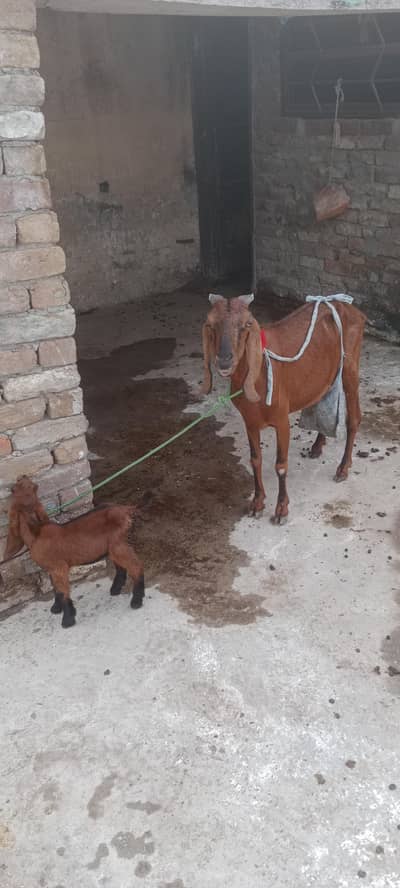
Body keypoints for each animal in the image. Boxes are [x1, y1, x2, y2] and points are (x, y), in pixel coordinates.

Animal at [4, 476, 145, 628]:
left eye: (14, 488)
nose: (22, 476)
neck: (37, 533)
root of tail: (125, 509)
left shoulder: (59, 567)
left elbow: (63, 592)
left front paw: (67, 620)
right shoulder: (51, 569)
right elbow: (56, 589)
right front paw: (56, 608)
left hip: (118, 545)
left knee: (135, 566)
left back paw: (136, 600)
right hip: (112, 547)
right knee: (121, 567)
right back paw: (115, 589)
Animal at [201, 293, 366, 523]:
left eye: (246, 324)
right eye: (211, 324)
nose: (224, 360)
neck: (260, 372)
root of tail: (350, 308)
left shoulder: (281, 420)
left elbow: (280, 465)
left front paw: (281, 509)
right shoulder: (249, 421)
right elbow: (255, 460)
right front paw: (257, 503)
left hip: (350, 367)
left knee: (354, 418)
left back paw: (342, 468)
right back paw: (317, 446)